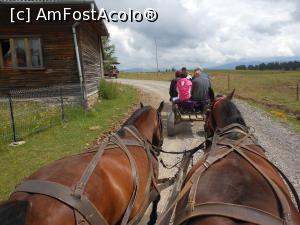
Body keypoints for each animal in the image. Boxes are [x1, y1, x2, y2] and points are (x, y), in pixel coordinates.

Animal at [0, 102, 164, 225]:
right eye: (162, 124)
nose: (159, 146)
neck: (135, 136)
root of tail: (26, 202)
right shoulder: (152, 186)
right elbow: (157, 198)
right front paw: (153, 218)